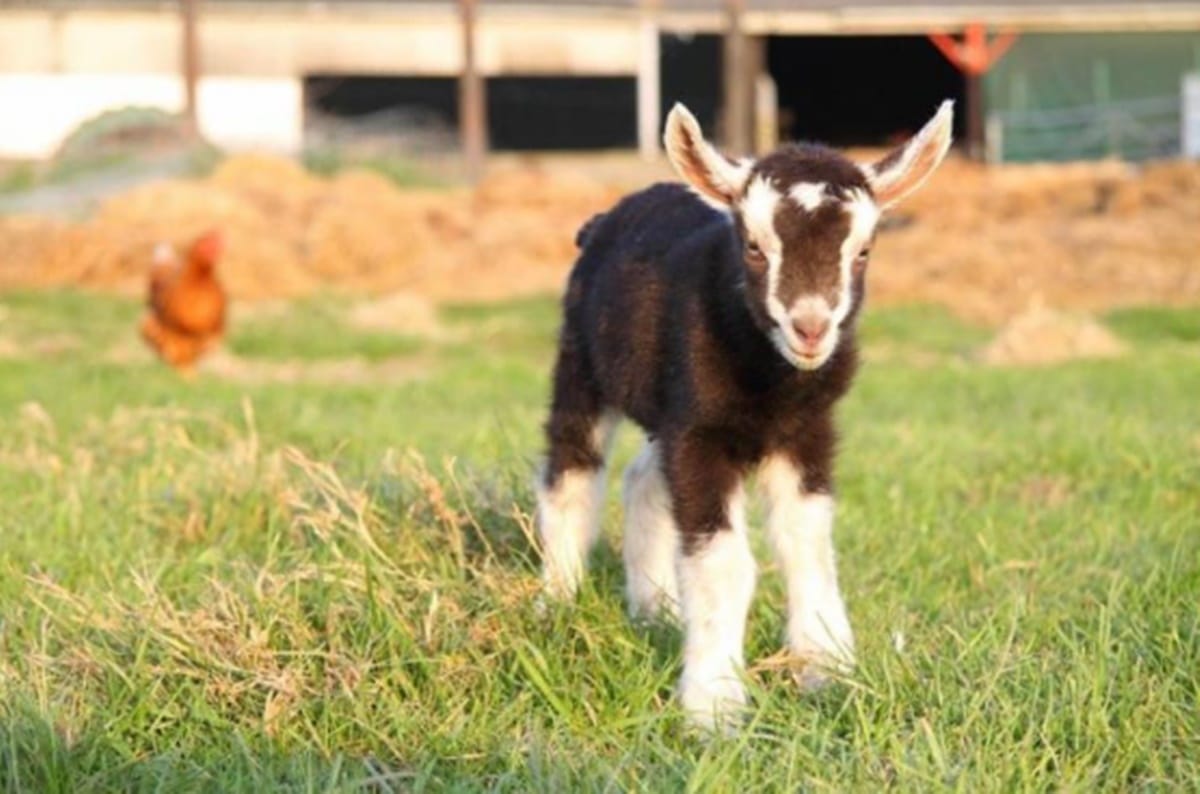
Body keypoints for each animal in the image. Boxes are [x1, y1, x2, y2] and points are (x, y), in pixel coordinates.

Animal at [535, 100, 954, 729]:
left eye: (862, 251)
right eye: (754, 247)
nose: (810, 328)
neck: (771, 386)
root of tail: (607, 217)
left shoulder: (805, 433)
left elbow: (808, 545)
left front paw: (828, 670)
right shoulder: (700, 434)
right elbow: (725, 563)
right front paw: (715, 706)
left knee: (642, 481)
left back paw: (654, 609)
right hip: (582, 362)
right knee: (572, 472)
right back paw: (556, 601)